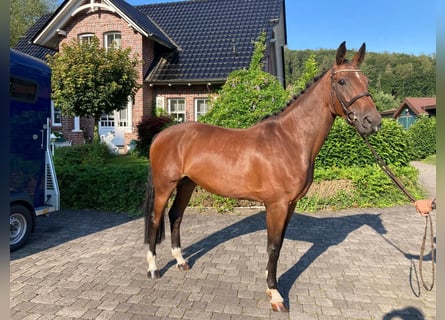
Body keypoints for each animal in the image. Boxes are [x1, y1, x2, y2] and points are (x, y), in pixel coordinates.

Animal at [144, 41, 380, 312]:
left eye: (366, 80)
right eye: (342, 81)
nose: (373, 121)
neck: (290, 140)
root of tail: (162, 135)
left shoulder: (290, 205)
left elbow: (279, 245)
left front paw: (272, 285)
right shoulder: (276, 205)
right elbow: (273, 246)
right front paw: (275, 295)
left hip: (186, 184)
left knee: (176, 216)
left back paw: (181, 261)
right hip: (165, 186)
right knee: (155, 219)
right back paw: (153, 269)